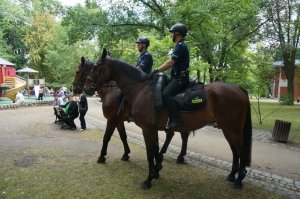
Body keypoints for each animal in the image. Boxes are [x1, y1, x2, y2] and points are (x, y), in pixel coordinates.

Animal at [83, 49, 252, 189]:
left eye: (96, 67)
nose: (85, 88)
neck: (141, 90)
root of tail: (238, 89)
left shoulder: (141, 127)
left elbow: (147, 151)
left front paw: (148, 179)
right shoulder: (148, 128)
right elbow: (151, 148)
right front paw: (155, 172)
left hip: (233, 129)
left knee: (241, 150)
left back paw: (238, 180)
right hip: (227, 128)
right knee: (234, 150)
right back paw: (232, 175)